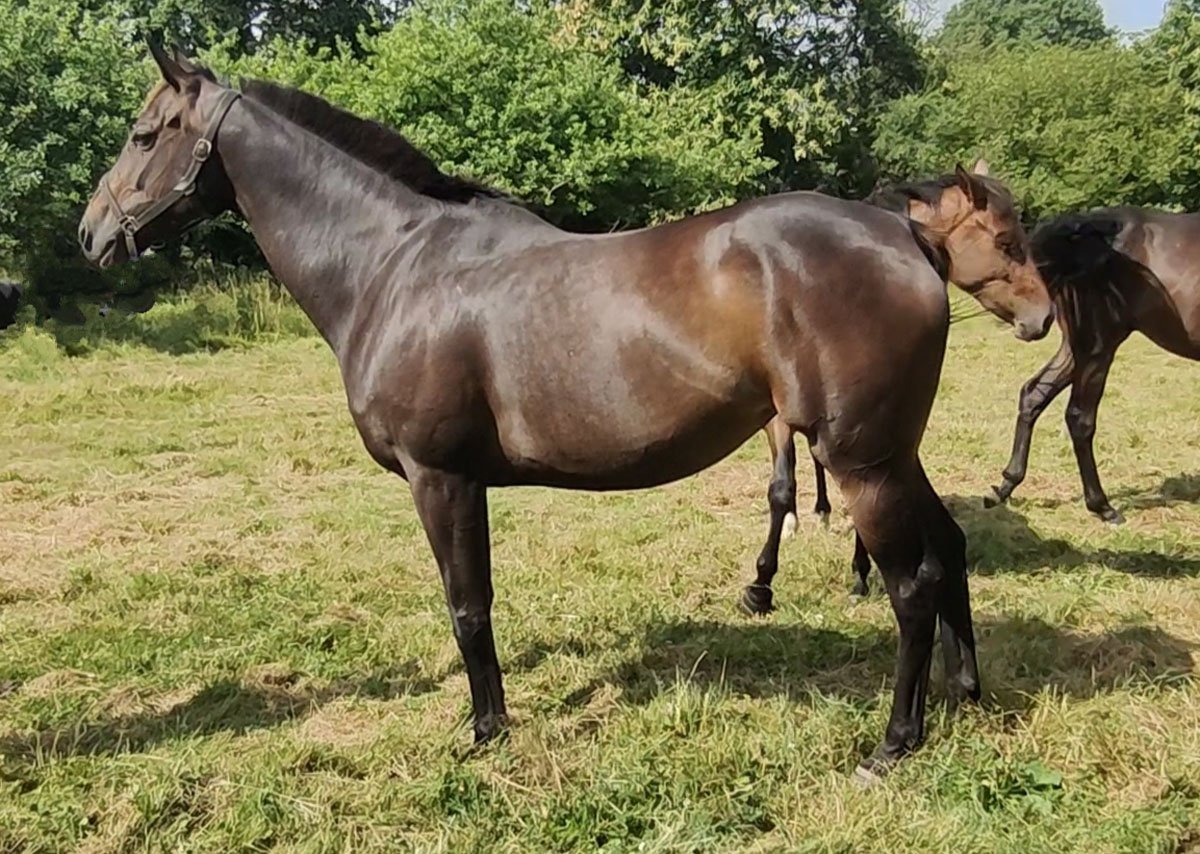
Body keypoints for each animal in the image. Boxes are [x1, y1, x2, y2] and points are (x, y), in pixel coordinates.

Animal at [744, 163, 1054, 607]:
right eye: (1006, 241)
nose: (1043, 317)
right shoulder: (783, 422)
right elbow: (782, 488)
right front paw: (764, 578)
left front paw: (859, 573)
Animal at [985, 207, 1200, 523]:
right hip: (1098, 348)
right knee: (1079, 418)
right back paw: (1102, 506)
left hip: (1076, 349)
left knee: (1033, 394)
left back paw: (1004, 487)